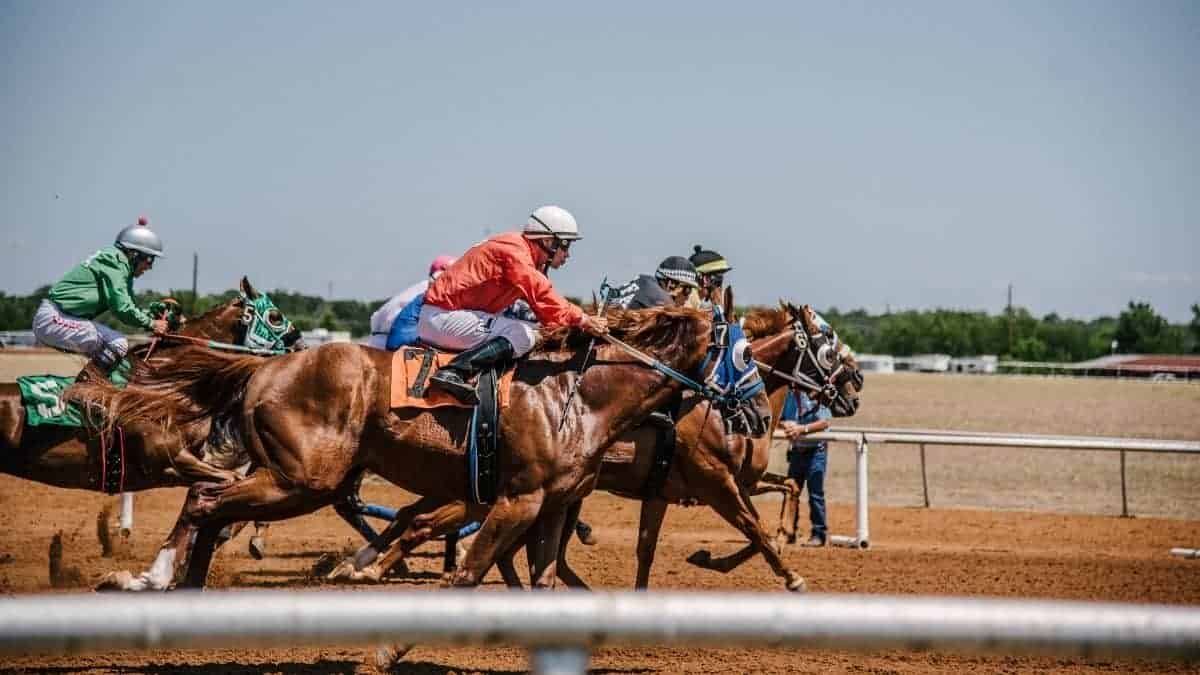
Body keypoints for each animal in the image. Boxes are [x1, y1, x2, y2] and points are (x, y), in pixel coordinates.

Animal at [72, 305, 773, 591]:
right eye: (744, 354)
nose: (764, 416)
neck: (579, 396)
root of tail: (266, 366)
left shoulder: (551, 507)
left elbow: (542, 576)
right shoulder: (517, 500)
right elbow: (468, 566)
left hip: (298, 476)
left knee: (211, 502)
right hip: (302, 479)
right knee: (205, 499)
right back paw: (152, 576)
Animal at [325, 302, 861, 592]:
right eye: (828, 341)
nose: (854, 389)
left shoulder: (674, 489)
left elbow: (781, 492)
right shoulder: (714, 480)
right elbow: (755, 529)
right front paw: (785, 573)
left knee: (431, 524)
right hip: (485, 491)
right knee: (426, 524)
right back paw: (367, 567)